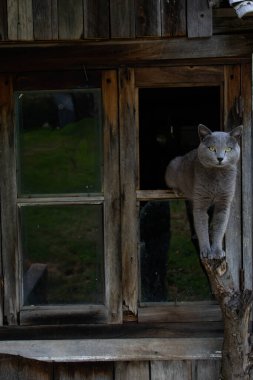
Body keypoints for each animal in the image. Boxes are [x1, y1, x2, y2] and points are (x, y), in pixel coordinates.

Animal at [165, 124, 242, 258]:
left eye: (228, 149)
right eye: (211, 148)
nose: (220, 158)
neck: (217, 175)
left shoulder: (224, 203)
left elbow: (219, 227)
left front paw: (217, 251)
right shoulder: (200, 201)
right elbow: (201, 227)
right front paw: (206, 251)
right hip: (172, 169)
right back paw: (177, 190)